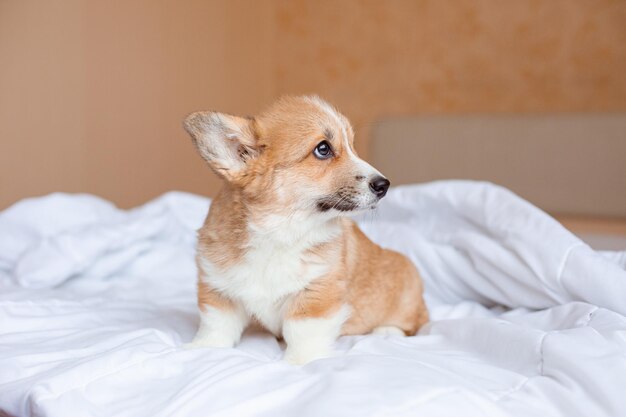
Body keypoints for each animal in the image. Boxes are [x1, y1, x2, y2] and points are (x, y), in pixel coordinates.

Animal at [183, 96, 426, 362]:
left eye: (351, 146)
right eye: (323, 149)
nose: (384, 185)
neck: (279, 231)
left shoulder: (317, 293)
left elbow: (302, 332)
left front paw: (299, 361)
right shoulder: (217, 287)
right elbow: (216, 325)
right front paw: (204, 349)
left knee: (416, 321)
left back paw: (386, 332)